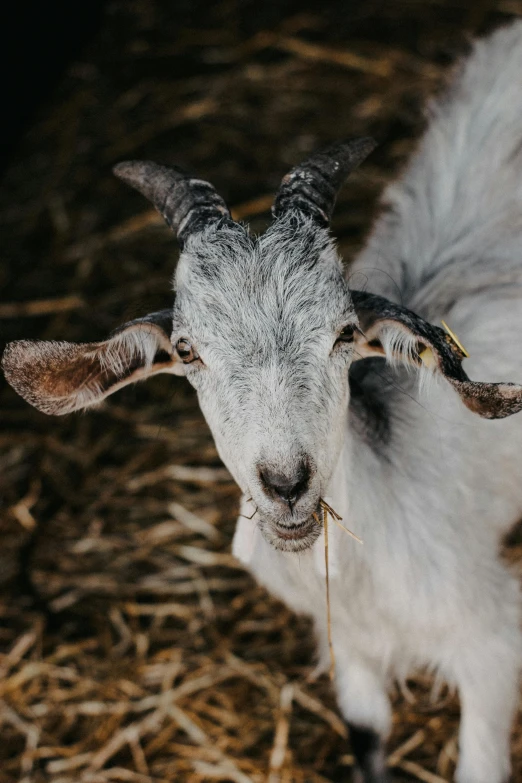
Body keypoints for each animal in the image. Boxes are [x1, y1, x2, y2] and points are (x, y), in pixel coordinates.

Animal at [3, 19, 520, 783]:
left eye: (344, 333)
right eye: (188, 351)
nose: (286, 483)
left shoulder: (490, 647)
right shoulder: (351, 655)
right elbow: (367, 740)